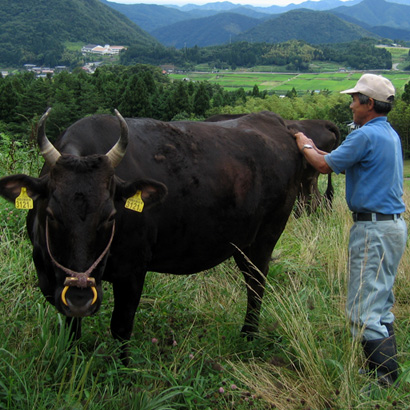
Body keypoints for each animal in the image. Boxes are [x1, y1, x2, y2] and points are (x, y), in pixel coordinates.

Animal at [0, 109, 326, 362]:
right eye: (51, 214)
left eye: (111, 216)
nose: (80, 297)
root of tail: (275, 121)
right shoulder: (49, 277)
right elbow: (70, 326)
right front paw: (71, 361)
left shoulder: (132, 270)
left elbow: (121, 326)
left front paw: (123, 371)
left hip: (264, 239)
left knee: (256, 287)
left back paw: (247, 336)